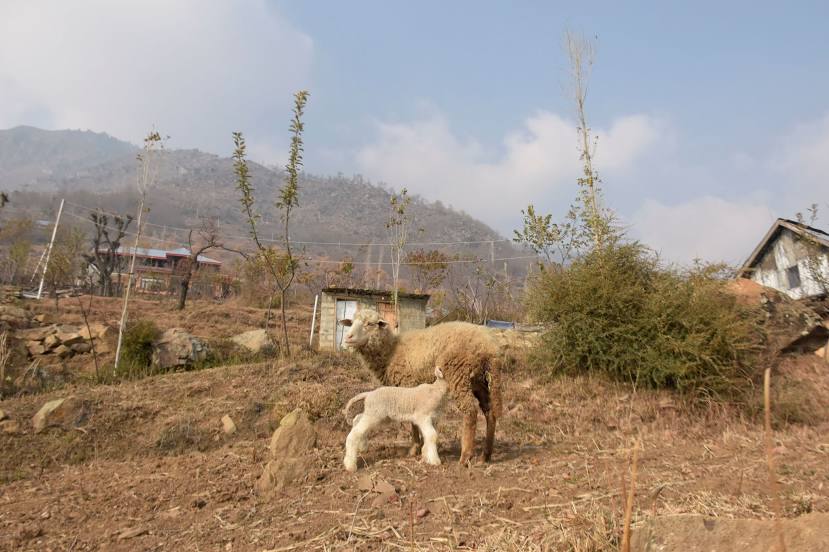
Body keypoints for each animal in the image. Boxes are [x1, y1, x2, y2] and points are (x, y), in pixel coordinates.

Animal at [340, 308, 502, 464]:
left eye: (369, 324)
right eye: (351, 322)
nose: (348, 338)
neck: (391, 351)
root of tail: (489, 346)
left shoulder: (408, 384)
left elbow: (413, 422)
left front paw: (415, 448)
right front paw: (423, 447)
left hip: (458, 374)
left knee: (470, 411)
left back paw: (465, 457)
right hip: (479, 381)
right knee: (490, 412)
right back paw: (485, 456)